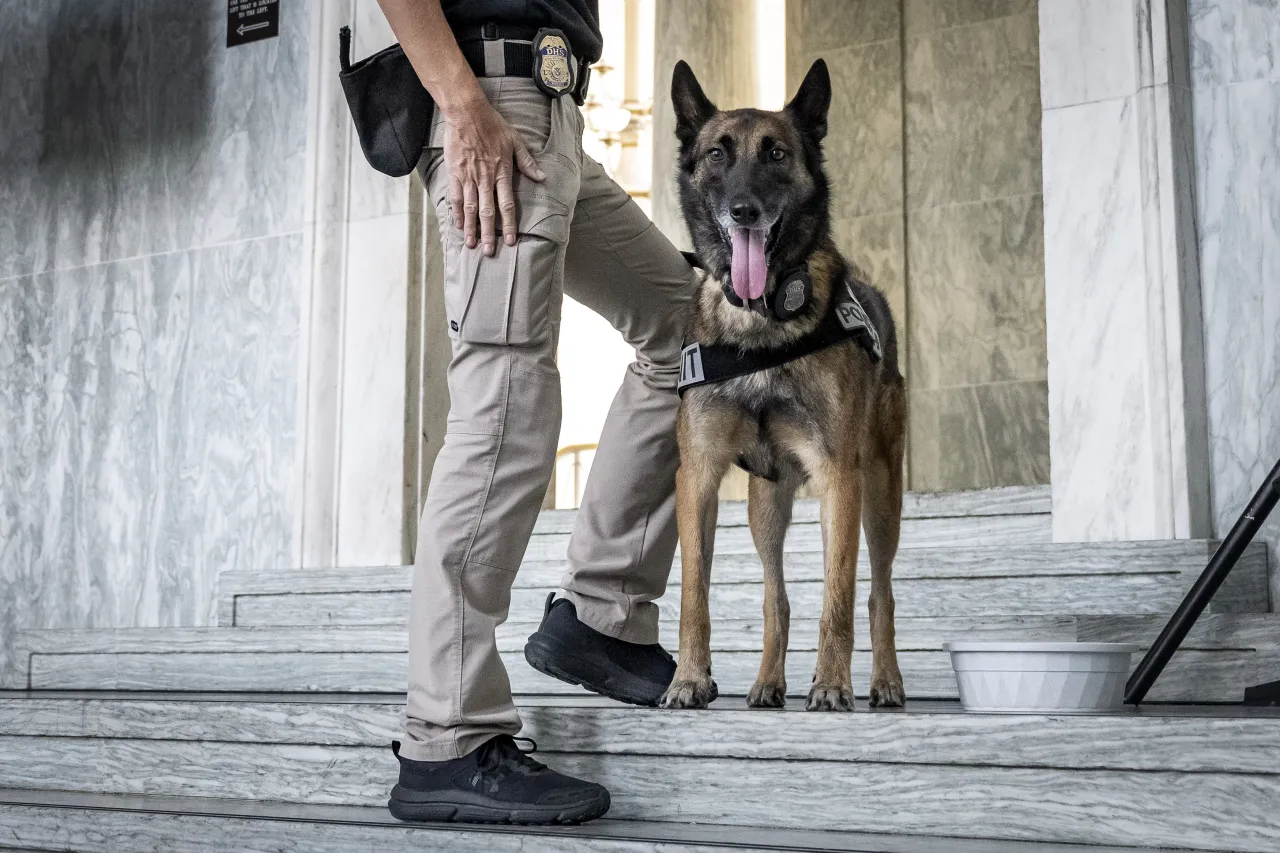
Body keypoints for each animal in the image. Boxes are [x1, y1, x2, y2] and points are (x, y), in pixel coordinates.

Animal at [660, 61, 911, 712]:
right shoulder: (698, 478)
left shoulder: (840, 478)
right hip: (765, 509)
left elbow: (839, 596)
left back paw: (885, 681)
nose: (744, 211)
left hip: (881, 494)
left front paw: (832, 683)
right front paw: (689, 678)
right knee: (777, 597)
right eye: (717, 154)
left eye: (776, 153)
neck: (761, 321)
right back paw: (769, 681)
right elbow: (694, 595)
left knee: (878, 590)